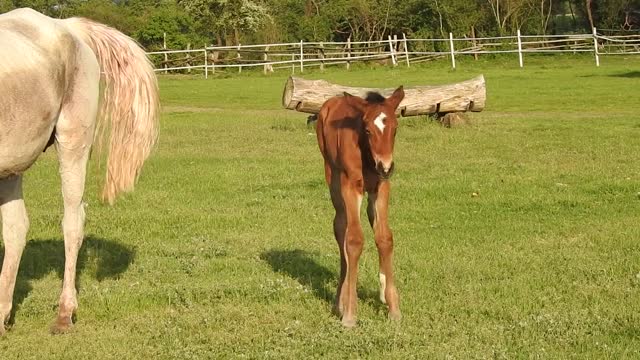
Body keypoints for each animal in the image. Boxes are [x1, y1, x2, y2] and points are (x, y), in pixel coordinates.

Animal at [0, 8, 159, 334]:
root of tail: (67, 26)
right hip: (13, 163)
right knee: (16, 229)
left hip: (74, 141)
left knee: (72, 223)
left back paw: (64, 313)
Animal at [316, 86, 404, 326]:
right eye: (367, 130)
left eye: (395, 128)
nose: (386, 166)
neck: (367, 156)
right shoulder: (351, 185)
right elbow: (354, 240)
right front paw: (349, 314)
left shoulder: (381, 186)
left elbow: (385, 238)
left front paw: (393, 308)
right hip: (333, 176)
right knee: (340, 226)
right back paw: (340, 301)